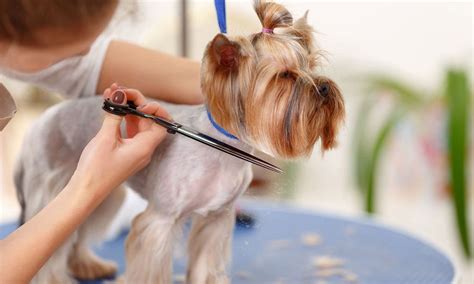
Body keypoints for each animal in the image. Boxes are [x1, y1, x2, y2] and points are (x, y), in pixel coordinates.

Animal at [14, 1, 344, 282]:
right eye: (285, 76)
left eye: (312, 64)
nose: (325, 87)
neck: (222, 149)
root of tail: (41, 121)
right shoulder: (160, 221)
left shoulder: (216, 220)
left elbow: (204, 266)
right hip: (56, 191)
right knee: (53, 245)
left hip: (99, 193)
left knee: (79, 230)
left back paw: (87, 265)